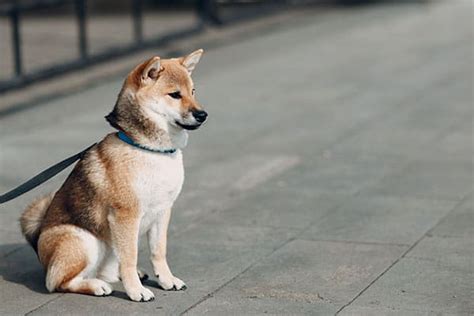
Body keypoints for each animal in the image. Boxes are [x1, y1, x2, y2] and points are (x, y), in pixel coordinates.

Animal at [19, 48, 207, 302]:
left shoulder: (163, 210)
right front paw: (136, 291)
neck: (150, 149)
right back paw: (96, 286)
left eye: (193, 91)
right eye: (175, 95)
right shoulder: (126, 215)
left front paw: (167, 280)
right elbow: (130, 257)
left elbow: (159, 251)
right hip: (83, 240)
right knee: (58, 282)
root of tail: (39, 242)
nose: (202, 114)